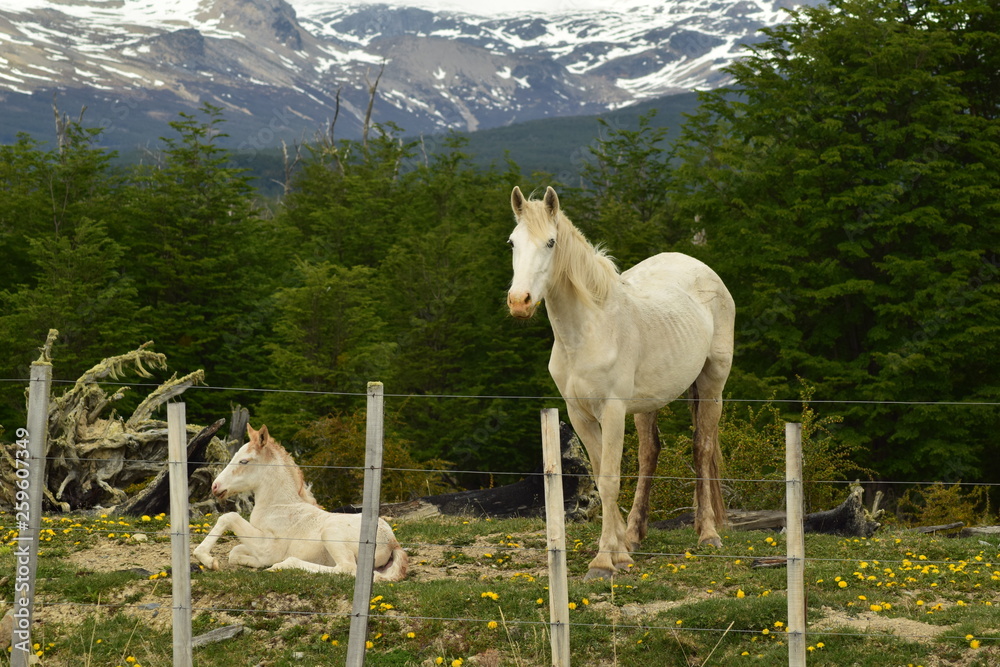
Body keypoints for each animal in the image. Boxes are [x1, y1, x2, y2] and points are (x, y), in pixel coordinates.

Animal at [192, 424, 408, 581]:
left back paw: (282, 565)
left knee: (347, 568)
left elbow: (228, 517)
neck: (278, 507)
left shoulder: (268, 548)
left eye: (244, 461)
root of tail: (393, 542)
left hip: (331, 533)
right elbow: (235, 552)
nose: (216, 486)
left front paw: (207, 559)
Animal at [506, 186, 735, 580]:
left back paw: (708, 534)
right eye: (512, 243)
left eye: (551, 242)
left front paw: (604, 562)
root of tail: (703, 270)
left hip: (712, 385)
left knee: (702, 449)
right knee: (650, 454)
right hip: (646, 404)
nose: (519, 302)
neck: (588, 332)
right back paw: (634, 535)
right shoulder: (579, 414)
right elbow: (600, 478)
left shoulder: (612, 412)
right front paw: (620, 552)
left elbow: (612, 479)